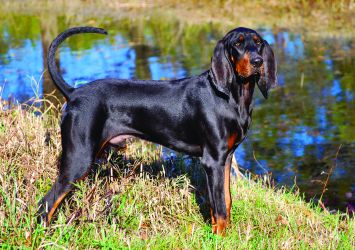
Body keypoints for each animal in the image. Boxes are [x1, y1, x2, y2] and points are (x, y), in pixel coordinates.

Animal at [38, 26, 278, 235]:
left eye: (258, 43)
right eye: (237, 43)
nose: (258, 61)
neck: (232, 96)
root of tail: (74, 93)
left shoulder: (226, 158)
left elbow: (226, 201)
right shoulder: (213, 160)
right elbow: (218, 209)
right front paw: (219, 239)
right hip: (78, 160)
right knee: (45, 204)